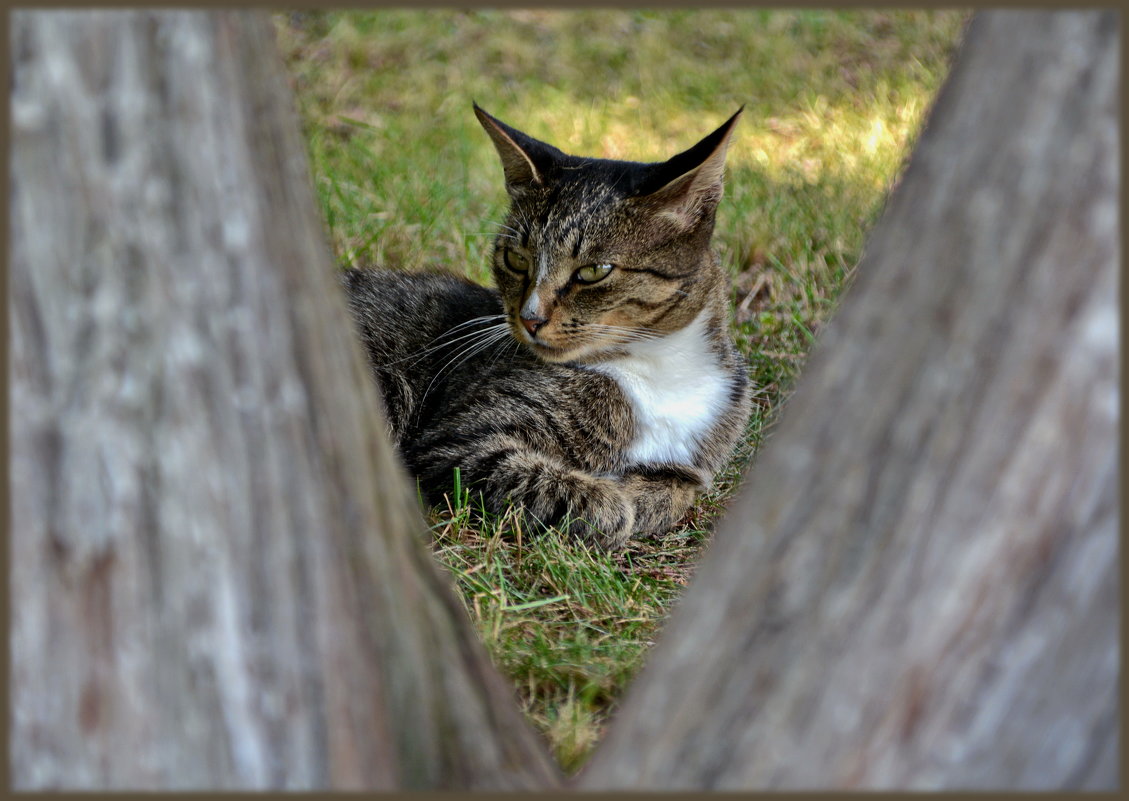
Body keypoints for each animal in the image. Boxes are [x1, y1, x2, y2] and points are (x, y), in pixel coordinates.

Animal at [343, 103, 749, 546]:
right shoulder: (455, 442)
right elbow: (568, 491)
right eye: (516, 259)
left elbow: (678, 490)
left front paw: (642, 496)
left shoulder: (691, 464)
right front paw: (613, 501)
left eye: (593, 271)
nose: (529, 317)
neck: (656, 367)